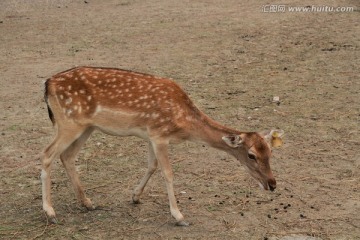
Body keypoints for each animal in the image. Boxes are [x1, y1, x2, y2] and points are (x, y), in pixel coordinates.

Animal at [41, 66, 284, 226]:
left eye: (270, 152)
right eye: (251, 155)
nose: (272, 184)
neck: (184, 124)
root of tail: (48, 84)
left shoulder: (150, 135)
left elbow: (152, 166)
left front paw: (135, 196)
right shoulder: (159, 135)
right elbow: (167, 172)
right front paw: (179, 216)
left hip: (86, 127)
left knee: (67, 156)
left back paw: (87, 203)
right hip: (68, 122)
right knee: (46, 154)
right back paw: (50, 212)